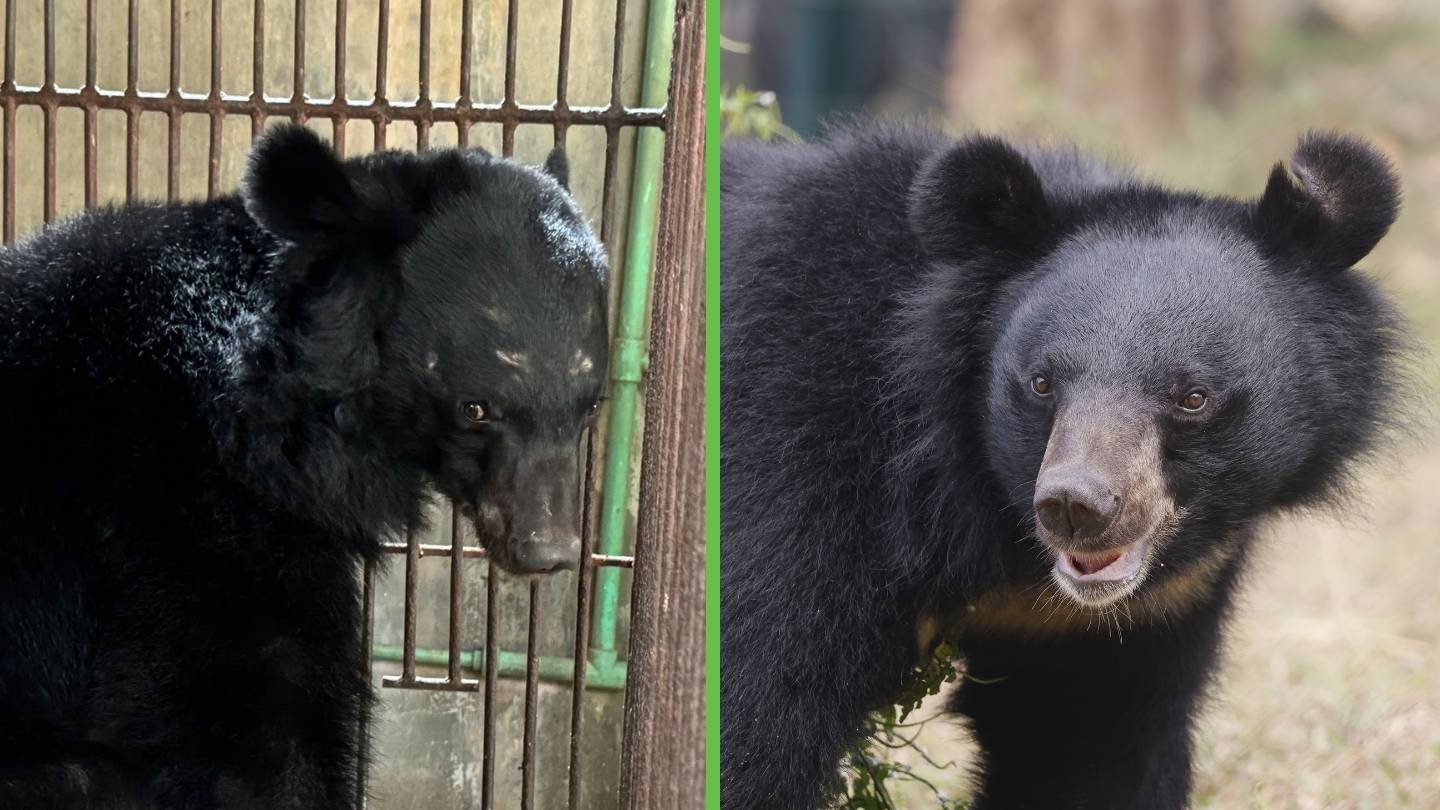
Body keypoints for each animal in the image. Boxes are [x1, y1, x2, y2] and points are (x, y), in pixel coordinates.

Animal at [719, 127, 1404, 809]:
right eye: (1042, 382)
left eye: (1193, 397)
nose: (1076, 507)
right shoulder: (801, 477)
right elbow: (755, 712)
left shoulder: (1115, 625)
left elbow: (1087, 754)